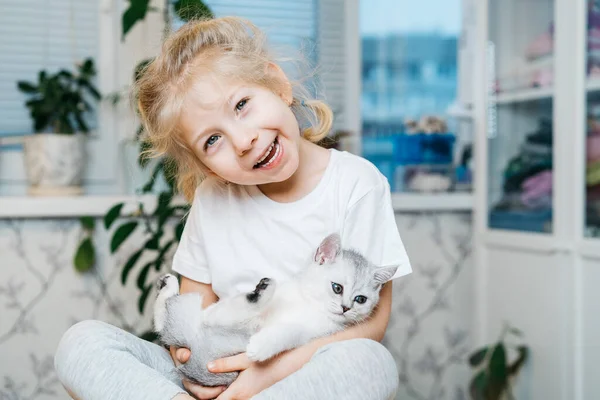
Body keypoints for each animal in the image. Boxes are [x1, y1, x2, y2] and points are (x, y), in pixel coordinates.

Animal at [154, 233, 398, 386]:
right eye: (337, 288)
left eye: (360, 299)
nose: (346, 308)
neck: (309, 305)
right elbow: (228, 310)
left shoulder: (308, 334)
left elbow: (286, 332)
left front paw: (260, 346)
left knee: (168, 321)